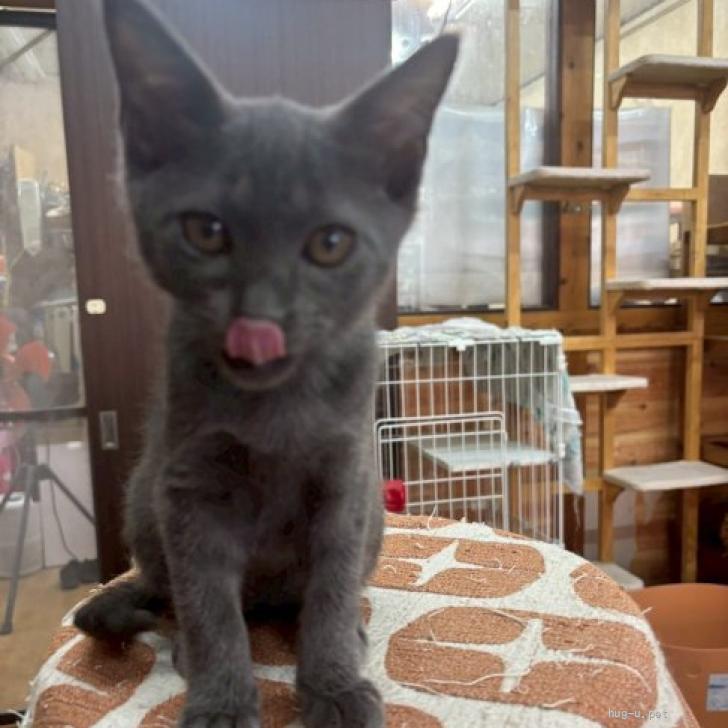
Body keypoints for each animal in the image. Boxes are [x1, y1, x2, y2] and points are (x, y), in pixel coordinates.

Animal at [74, 1, 457, 726]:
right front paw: (222, 700)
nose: (261, 322)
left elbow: (331, 587)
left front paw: (333, 685)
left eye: (331, 243)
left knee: (308, 598)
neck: (278, 411)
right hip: (143, 498)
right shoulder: (188, 486)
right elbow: (208, 605)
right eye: (206, 232)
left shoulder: (346, 477)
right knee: (173, 595)